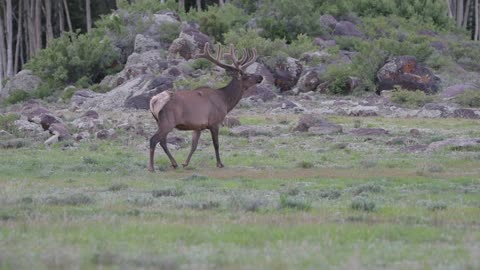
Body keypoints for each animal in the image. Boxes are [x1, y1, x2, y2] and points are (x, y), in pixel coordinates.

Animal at [149, 43, 264, 172]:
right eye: (246, 75)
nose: (260, 76)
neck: (225, 101)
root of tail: (154, 101)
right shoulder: (214, 122)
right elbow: (216, 144)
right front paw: (219, 164)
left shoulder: (198, 126)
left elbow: (194, 146)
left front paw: (185, 163)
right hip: (167, 121)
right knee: (154, 139)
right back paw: (151, 167)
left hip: (160, 121)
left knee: (162, 141)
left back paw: (174, 163)